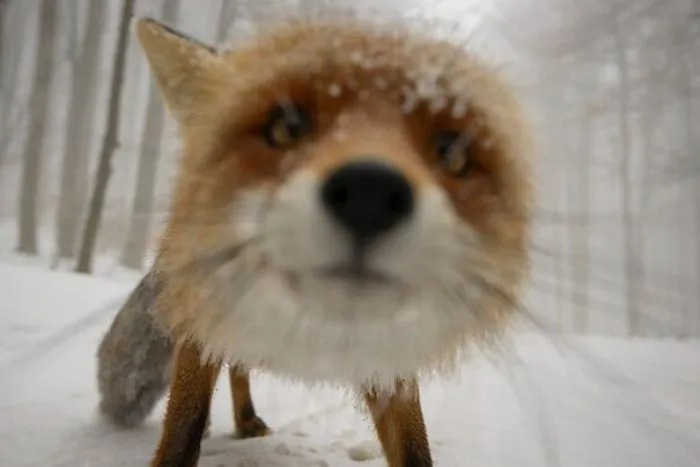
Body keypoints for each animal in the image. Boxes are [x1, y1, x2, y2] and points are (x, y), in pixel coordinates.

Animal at [102, 12, 535, 467]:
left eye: (450, 152)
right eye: (285, 128)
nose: (369, 194)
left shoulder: (389, 355)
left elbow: (414, 447)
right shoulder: (200, 317)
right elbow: (184, 424)